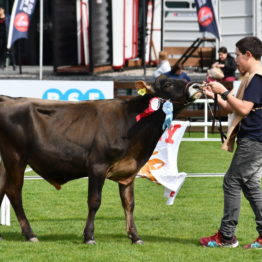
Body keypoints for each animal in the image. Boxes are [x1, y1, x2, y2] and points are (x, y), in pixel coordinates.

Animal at [0, 75, 203, 244]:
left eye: (183, 78)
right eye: (168, 84)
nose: (197, 85)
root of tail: (9, 99)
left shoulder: (129, 170)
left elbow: (129, 203)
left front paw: (135, 236)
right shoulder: (97, 166)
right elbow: (94, 201)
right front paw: (89, 236)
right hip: (15, 157)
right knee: (14, 192)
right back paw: (30, 234)